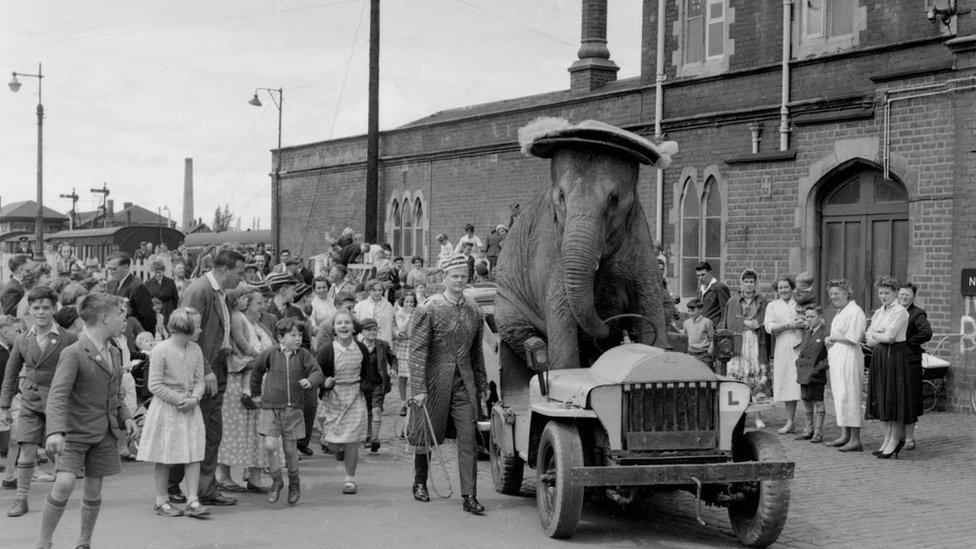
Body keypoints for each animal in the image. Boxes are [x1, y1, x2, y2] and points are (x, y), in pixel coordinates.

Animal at [500, 117, 676, 370]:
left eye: (614, 200)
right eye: (561, 196)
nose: (614, 328)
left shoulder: (641, 244)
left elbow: (651, 310)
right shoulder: (551, 252)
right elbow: (562, 328)